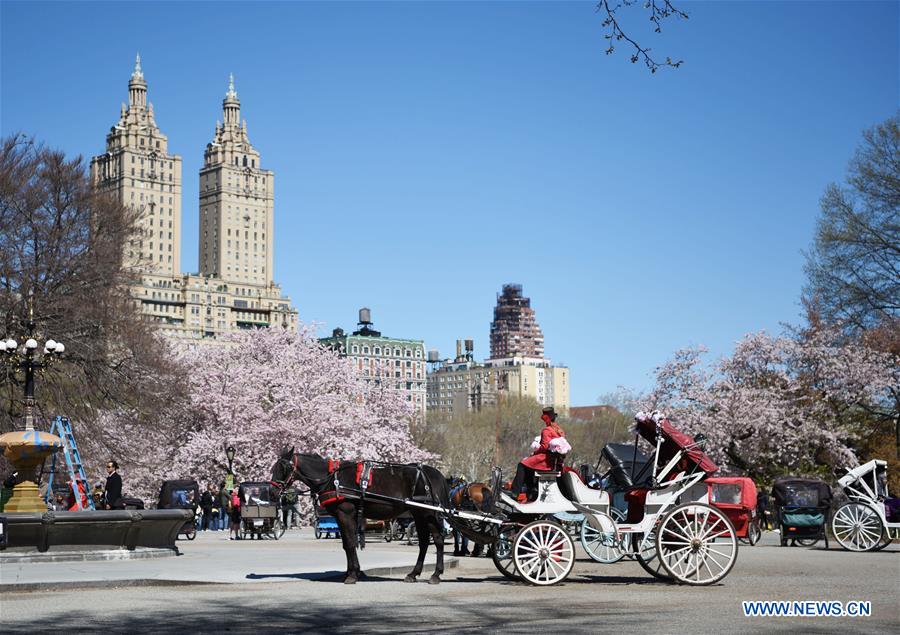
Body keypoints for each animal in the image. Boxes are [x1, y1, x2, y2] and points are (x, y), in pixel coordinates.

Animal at [268, 448, 450, 588]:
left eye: (282, 468)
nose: (273, 492)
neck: (333, 479)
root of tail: (432, 472)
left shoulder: (345, 514)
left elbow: (350, 543)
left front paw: (352, 575)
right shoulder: (342, 517)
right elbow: (347, 544)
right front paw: (352, 571)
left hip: (427, 514)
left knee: (438, 540)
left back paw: (435, 574)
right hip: (419, 514)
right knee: (424, 542)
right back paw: (413, 574)